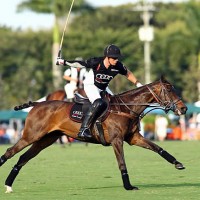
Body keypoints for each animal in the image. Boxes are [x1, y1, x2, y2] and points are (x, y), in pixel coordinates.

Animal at [0, 76, 188, 192]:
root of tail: (37, 105)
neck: (126, 108)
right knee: (10, 152)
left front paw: (178, 163)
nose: (184, 108)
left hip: (45, 140)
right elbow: (122, 163)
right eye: (169, 90)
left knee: (23, 158)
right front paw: (128, 186)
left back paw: (9, 185)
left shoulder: (133, 138)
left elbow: (158, 148)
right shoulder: (117, 140)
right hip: (31, 135)